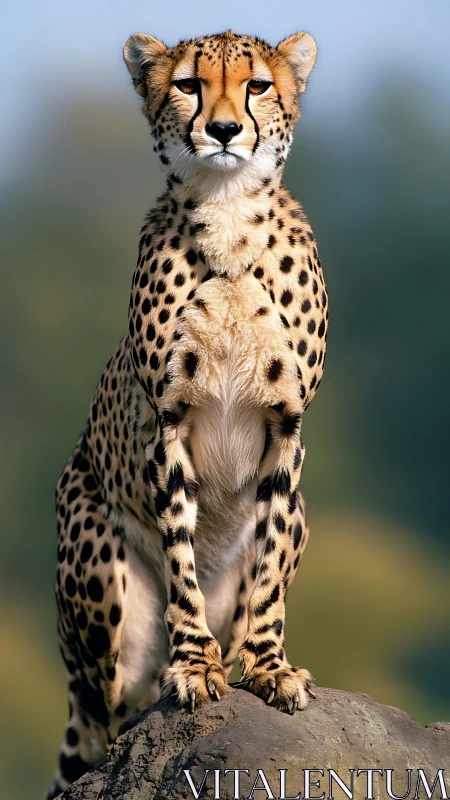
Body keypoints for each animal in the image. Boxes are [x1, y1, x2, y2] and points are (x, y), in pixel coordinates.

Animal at [47, 28, 328, 798]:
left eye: (257, 85)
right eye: (189, 85)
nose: (225, 130)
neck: (227, 219)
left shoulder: (287, 426)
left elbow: (267, 565)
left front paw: (264, 665)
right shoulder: (167, 422)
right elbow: (180, 548)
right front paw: (197, 664)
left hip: (304, 515)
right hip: (90, 553)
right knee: (111, 716)